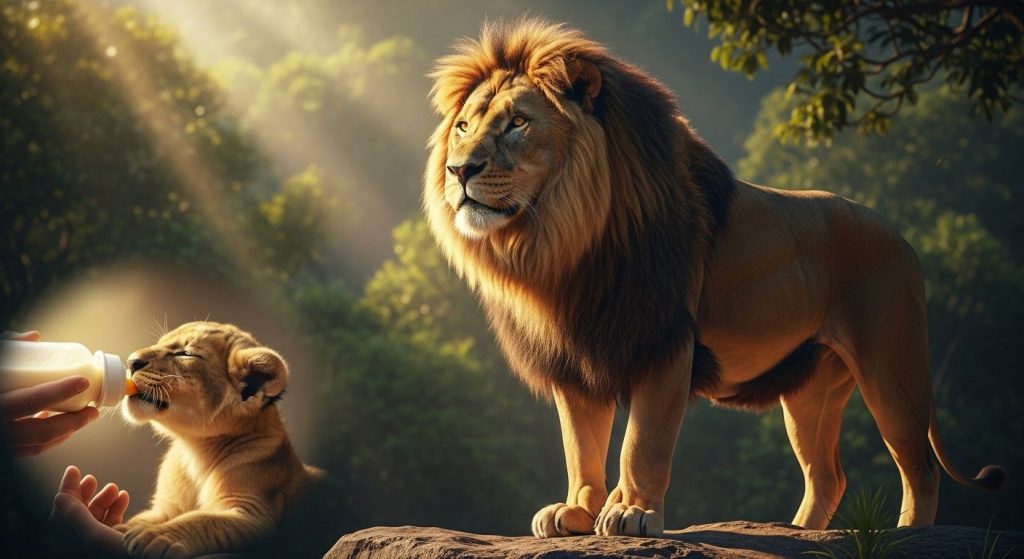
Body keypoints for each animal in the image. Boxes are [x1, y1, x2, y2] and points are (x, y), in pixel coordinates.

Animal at [117, 321, 321, 557]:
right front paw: (122, 525)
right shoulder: (166, 508)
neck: (194, 448)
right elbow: (137, 520)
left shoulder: (253, 511)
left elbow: (202, 521)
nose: (131, 361)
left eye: (185, 354)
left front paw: (155, 536)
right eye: (159, 343)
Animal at [424, 19, 1005, 537]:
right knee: (827, 476)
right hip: (812, 389)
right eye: (463, 127)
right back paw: (797, 532)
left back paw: (908, 533)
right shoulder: (577, 356)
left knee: (919, 465)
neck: (563, 243)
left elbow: (643, 442)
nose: (459, 170)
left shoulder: (665, 342)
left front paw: (632, 513)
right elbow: (581, 448)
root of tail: (902, 237)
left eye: (518, 123)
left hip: (892, 367)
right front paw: (577, 512)